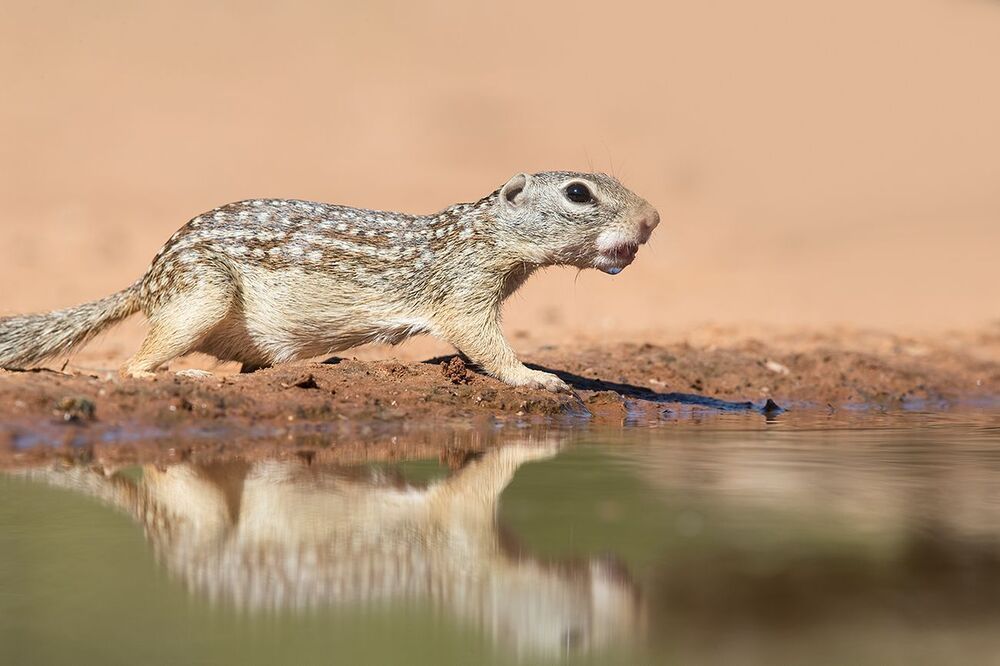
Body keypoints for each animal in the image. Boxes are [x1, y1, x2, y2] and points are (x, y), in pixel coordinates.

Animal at [0, 171, 659, 391]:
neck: (478, 232)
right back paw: (185, 374)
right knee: (133, 366)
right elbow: (483, 343)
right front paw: (537, 377)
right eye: (578, 192)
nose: (653, 219)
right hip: (200, 295)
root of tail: (148, 278)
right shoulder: (463, 291)